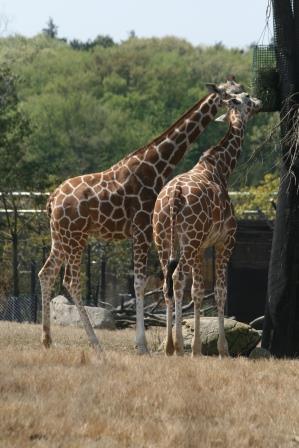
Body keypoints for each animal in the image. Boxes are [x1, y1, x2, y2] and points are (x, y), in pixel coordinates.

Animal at [38, 79, 244, 356]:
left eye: (238, 89)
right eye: (231, 94)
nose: (248, 98)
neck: (156, 166)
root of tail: (52, 200)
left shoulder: (147, 233)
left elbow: (149, 284)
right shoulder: (142, 229)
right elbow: (139, 284)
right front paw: (143, 346)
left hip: (60, 237)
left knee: (46, 273)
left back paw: (47, 340)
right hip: (75, 236)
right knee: (70, 280)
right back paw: (96, 344)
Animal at [154, 90, 262, 356]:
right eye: (246, 97)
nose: (259, 103)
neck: (222, 168)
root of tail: (174, 195)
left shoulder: (203, 247)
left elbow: (198, 291)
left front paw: (196, 348)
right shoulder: (226, 240)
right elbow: (221, 292)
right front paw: (222, 349)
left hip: (163, 240)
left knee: (167, 283)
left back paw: (170, 347)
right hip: (189, 241)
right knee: (182, 281)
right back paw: (181, 347)